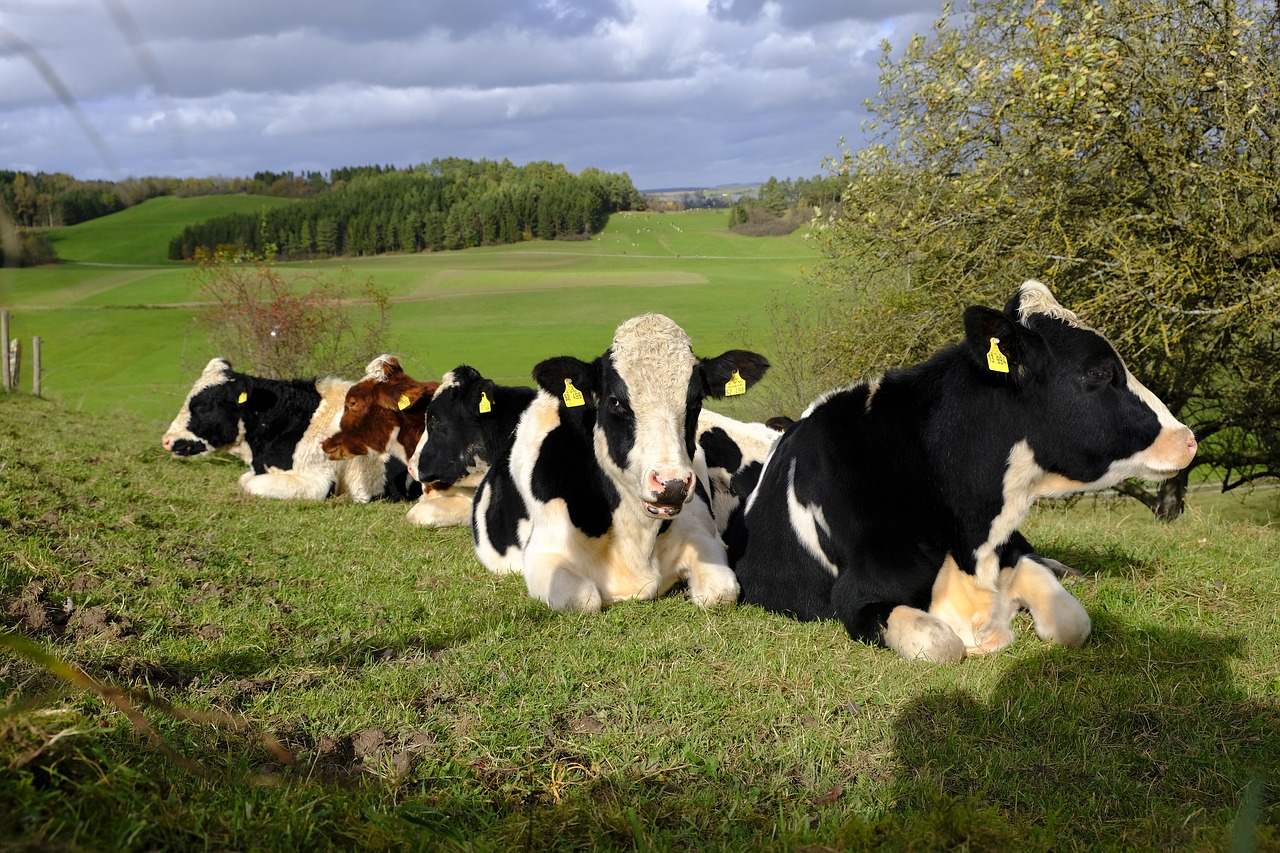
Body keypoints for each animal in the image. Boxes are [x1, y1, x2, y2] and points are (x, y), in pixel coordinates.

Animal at [732, 281, 1198, 660]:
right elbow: (943, 643)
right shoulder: (858, 598)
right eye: (1100, 371)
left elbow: (1073, 622)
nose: (1188, 438)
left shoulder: (1011, 550)